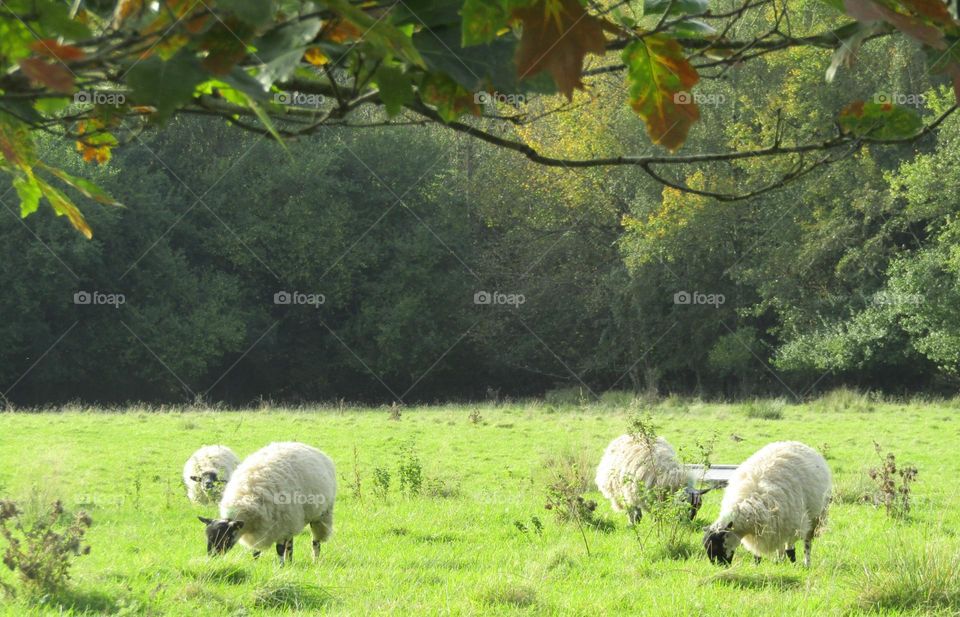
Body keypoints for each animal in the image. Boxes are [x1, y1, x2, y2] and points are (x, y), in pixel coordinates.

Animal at [198, 441, 336, 564]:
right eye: (208, 537)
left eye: (225, 537)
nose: (212, 557)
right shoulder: (264, 529)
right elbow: (256, 551)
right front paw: (255, 565)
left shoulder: (281, 525)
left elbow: (279, 549)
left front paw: (280, 567)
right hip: (292, 520)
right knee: (290, 543)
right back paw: (290, 561)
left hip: (320, 515)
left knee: (315, 542)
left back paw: (315, 561)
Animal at [702, 441, 832, 568]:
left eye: (718, 545)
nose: (720, 566)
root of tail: (798, 443)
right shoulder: (764, 531)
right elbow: (757, 553)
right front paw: (756, 565)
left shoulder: (794, 525)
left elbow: (790, 550)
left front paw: (794, 565)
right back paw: (780, 560)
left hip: (815, 517)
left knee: (807, 542)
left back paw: (806, 563)